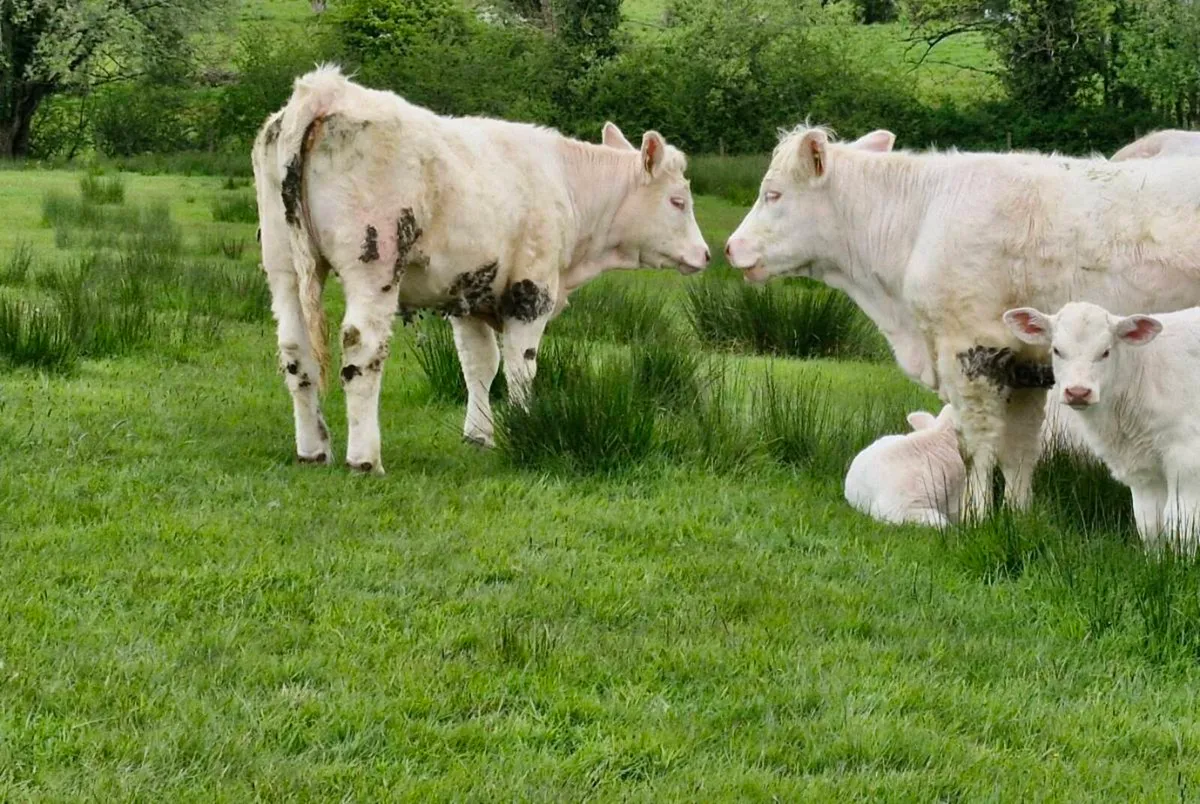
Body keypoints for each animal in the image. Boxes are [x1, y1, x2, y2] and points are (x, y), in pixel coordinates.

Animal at [252, 66, 709, 473]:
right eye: (678, 201)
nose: (705, 254)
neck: (567, 186)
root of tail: (325, 90)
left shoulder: (467, 293)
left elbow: (478, 366)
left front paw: (479, 435)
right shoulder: (531, 291)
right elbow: (521, 368)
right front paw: (525, 430)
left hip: (282, 264)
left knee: (295, 350)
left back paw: (312, 449)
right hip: (374, 261)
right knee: (361, 349)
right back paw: (365, 459)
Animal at [724, 124, 1200, 514]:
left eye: (773, 194)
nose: (730, 247)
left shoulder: (970, 348)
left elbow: (974, 447)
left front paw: (975, 517)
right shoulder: (1027, 364)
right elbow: (1019, 451)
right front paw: (1019, 515)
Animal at [1005, 302, 1200, 548]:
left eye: (1105, 352)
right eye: (1057, 350)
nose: (1078, 392)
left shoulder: (1187, 462)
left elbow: (1182, 526)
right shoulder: (1142, 471)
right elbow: (1150, 525)